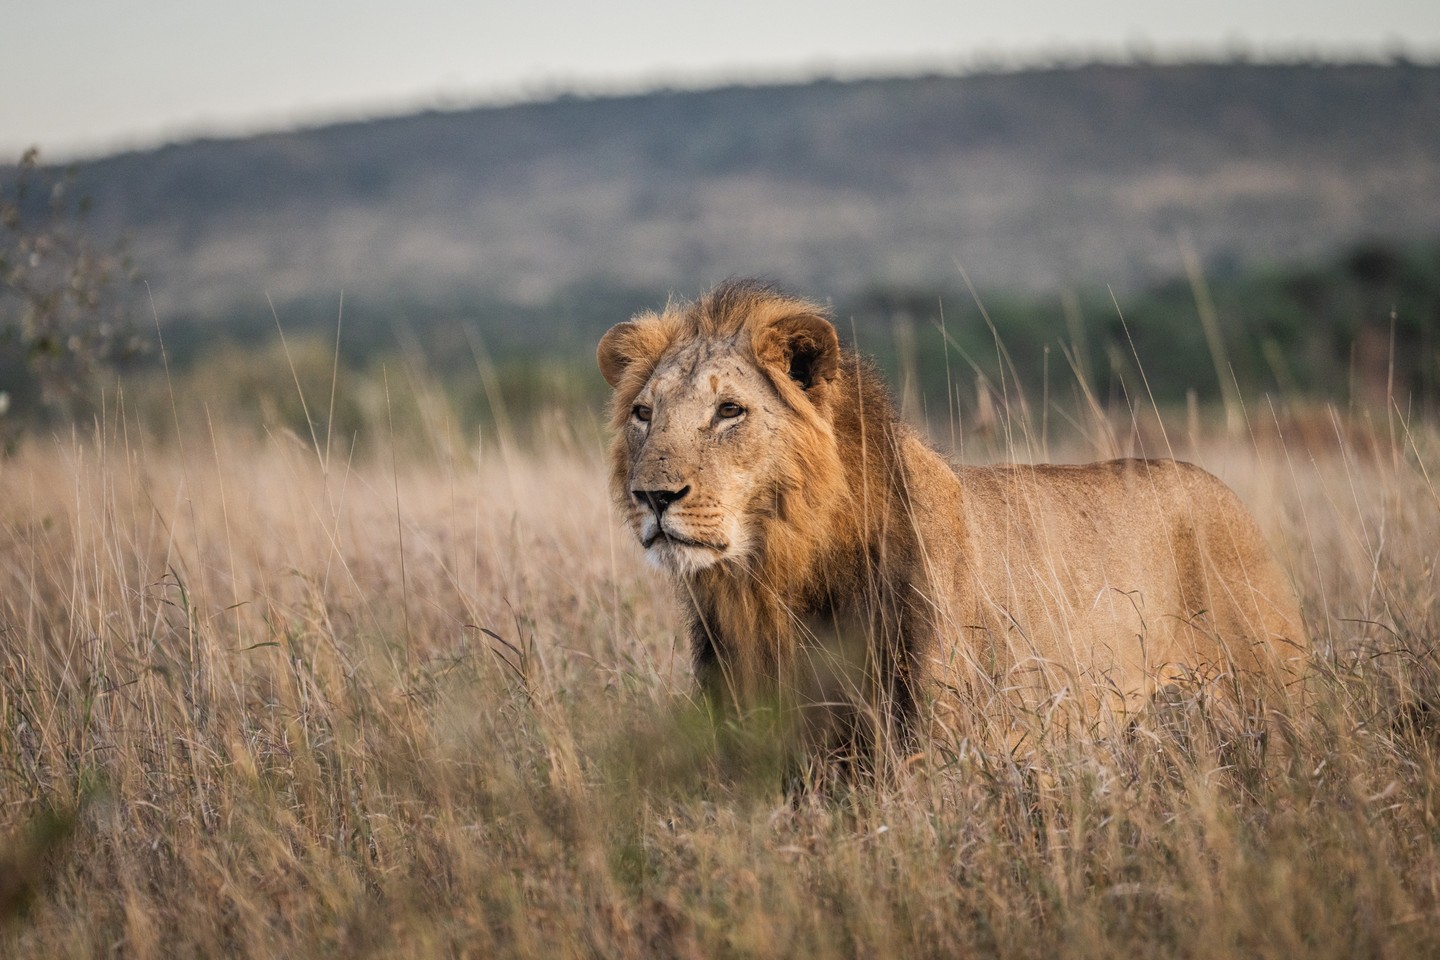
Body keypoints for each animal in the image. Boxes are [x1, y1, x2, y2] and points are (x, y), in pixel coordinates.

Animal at [598, 280, 1308, 756]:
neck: (770, 579)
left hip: (1269, 702)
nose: (653, 496)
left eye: (730, 412)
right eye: (643, 414)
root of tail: (1225, 492)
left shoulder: (938, 744)